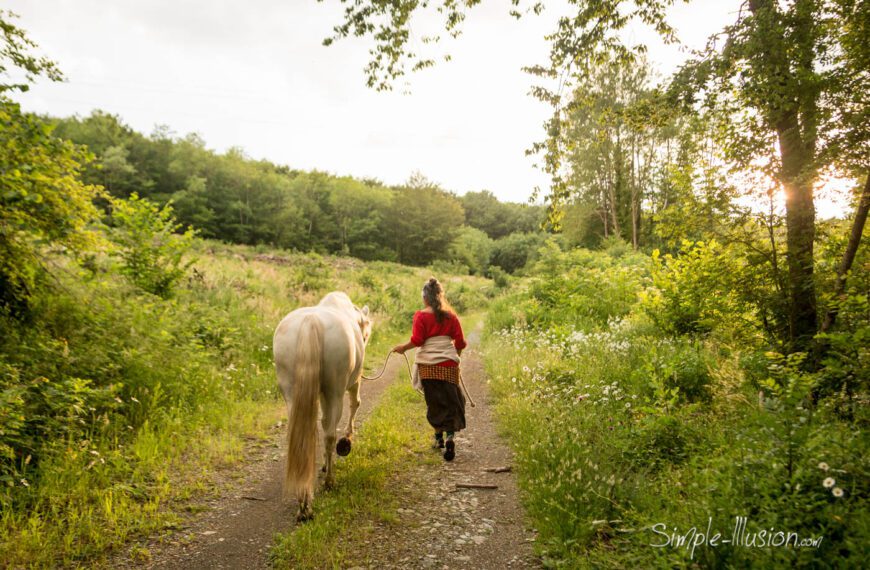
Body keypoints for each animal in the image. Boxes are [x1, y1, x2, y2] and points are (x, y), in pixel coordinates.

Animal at [274, 292, 372, 520]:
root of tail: (311, 321)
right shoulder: (351, 384)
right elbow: (355, 404)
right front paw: (346, 441)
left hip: (292, 394)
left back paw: (303, 504)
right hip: (335, 392)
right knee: (329, 434)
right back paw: (329, 482)